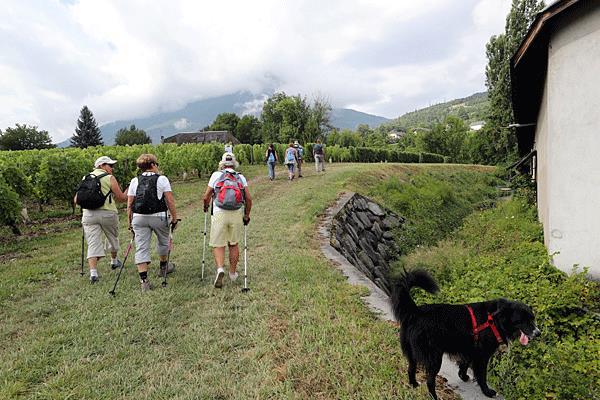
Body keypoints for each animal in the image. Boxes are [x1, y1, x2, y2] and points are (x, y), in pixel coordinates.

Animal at [392, 268, 540, 400]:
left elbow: (464, 363)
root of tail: (415, 312)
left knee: (411, 369)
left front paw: (463, 376)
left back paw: (414, 385)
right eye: (522, 321)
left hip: (412, 354)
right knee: (430, 381)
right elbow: (481, 376)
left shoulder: (470, 348)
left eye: (532, 318)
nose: (538, 333)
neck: (495, 319)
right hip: (434, 358)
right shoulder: (482, 355)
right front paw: (487, 391)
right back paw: (434, 396)